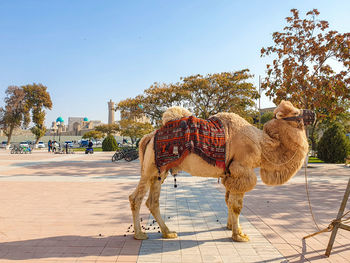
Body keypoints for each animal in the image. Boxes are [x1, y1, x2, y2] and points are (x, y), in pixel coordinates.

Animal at [129, 101, 308, 243]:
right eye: (295, 112)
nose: (310, 113)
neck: (262, 145)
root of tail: (149, 136)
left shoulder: (230, 174)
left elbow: (228, 200)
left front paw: (231, 227)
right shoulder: (241, 170)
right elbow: (236, 205)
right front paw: (239, 236)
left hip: (160, 172)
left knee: (152, 201)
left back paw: (168, 232)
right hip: (150, 169)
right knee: (136, 198)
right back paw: (139, 234)